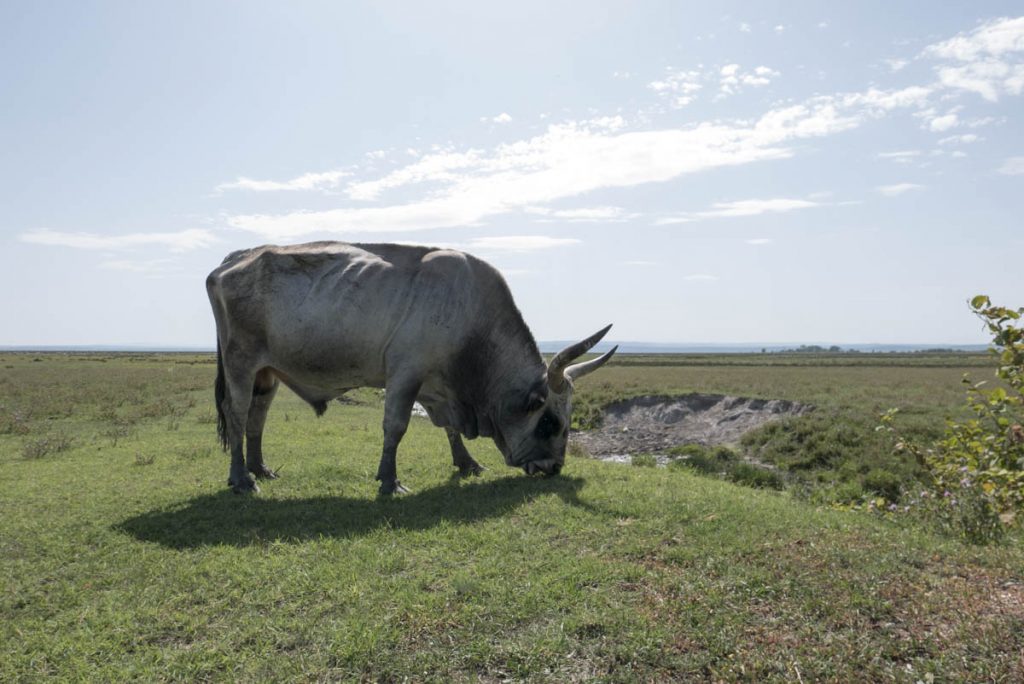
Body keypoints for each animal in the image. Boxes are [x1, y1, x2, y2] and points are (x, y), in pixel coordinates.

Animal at [203, 242, 610, 493]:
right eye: (549, 422)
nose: (553, 467)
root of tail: (235, 259)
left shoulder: (437, 385)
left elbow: (449, 430)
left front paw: (467, 463)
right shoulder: (404, 375)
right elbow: (395, 427)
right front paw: (389, 480)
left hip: (266, 374)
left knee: (257, 418)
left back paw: (259, 468)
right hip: (241, 365)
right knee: (237, 415)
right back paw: (241, 479)